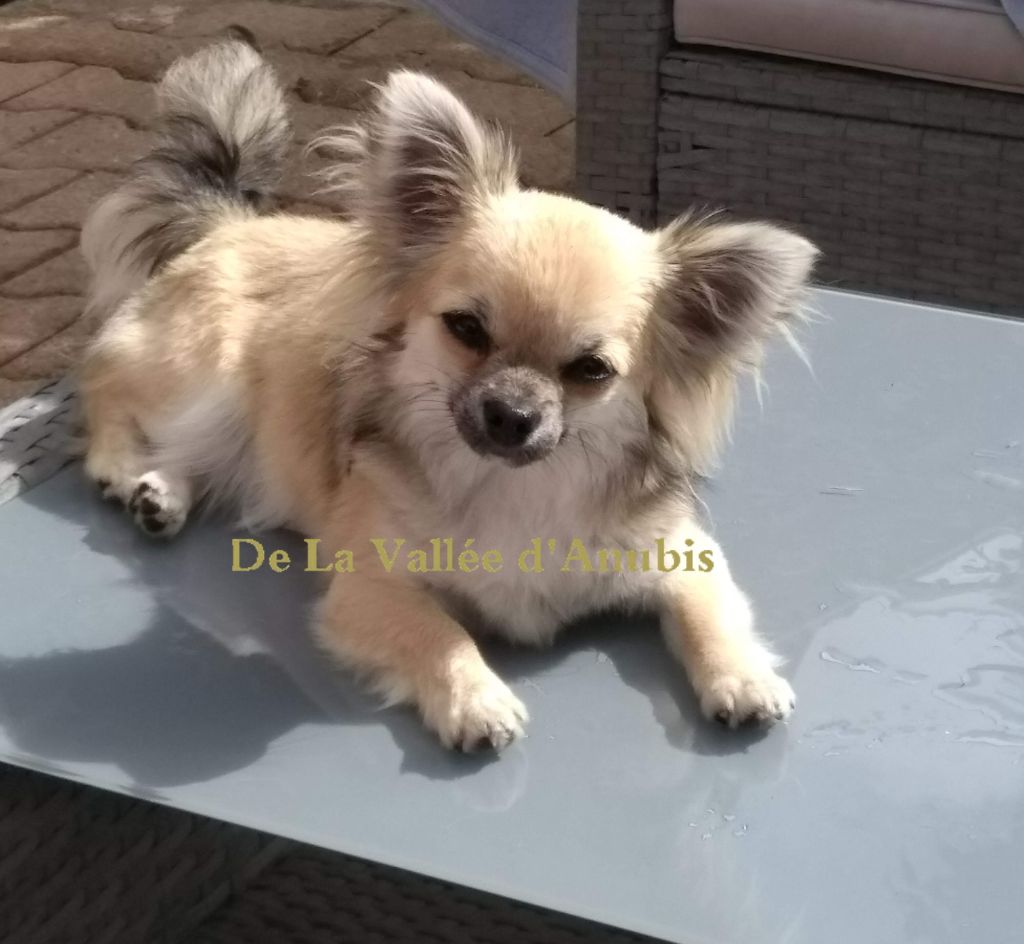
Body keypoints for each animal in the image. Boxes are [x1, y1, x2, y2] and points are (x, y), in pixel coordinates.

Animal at [78, 38, 818, 752]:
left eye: (592, 370)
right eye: (466, 328)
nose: (512, 414)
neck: (513, 489)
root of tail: (231, 221)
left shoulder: (684, 557)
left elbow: (709, 612)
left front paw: (743, 677)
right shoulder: (368, 590)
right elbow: (439, 632)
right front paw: (475, 700)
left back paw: (161, 494)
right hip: (203, 375)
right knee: (106, 381)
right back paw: (123, 467)